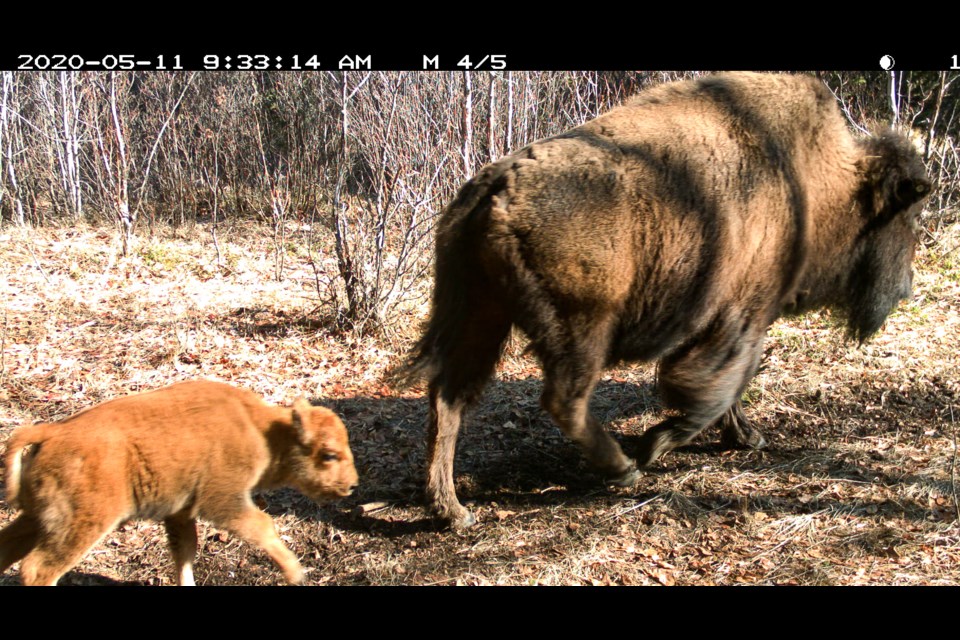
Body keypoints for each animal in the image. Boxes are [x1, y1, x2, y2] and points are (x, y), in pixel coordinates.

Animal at [0, 380, 358, 584]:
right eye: (329, 454)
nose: (352, 485)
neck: (262, 431)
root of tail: (51, 432)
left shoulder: (180, 512)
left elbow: (185, 551)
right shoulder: (224, 500)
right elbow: (262, 526)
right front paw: (296, 574)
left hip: (38, 519)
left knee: (9, 548)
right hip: (82, 524)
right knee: (37, 568)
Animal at [400, 71, 928, 528]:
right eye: (903, 218)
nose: (905, 286)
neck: (816, 179)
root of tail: (492, 186)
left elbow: (728, 389)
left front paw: (747, 437)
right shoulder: (741, 318)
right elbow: (713, 388)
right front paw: (659, 444)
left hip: (479, 318)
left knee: (449, 399)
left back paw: (453, 512)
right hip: (581, 327)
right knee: (562, 398)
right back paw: (622, 469)